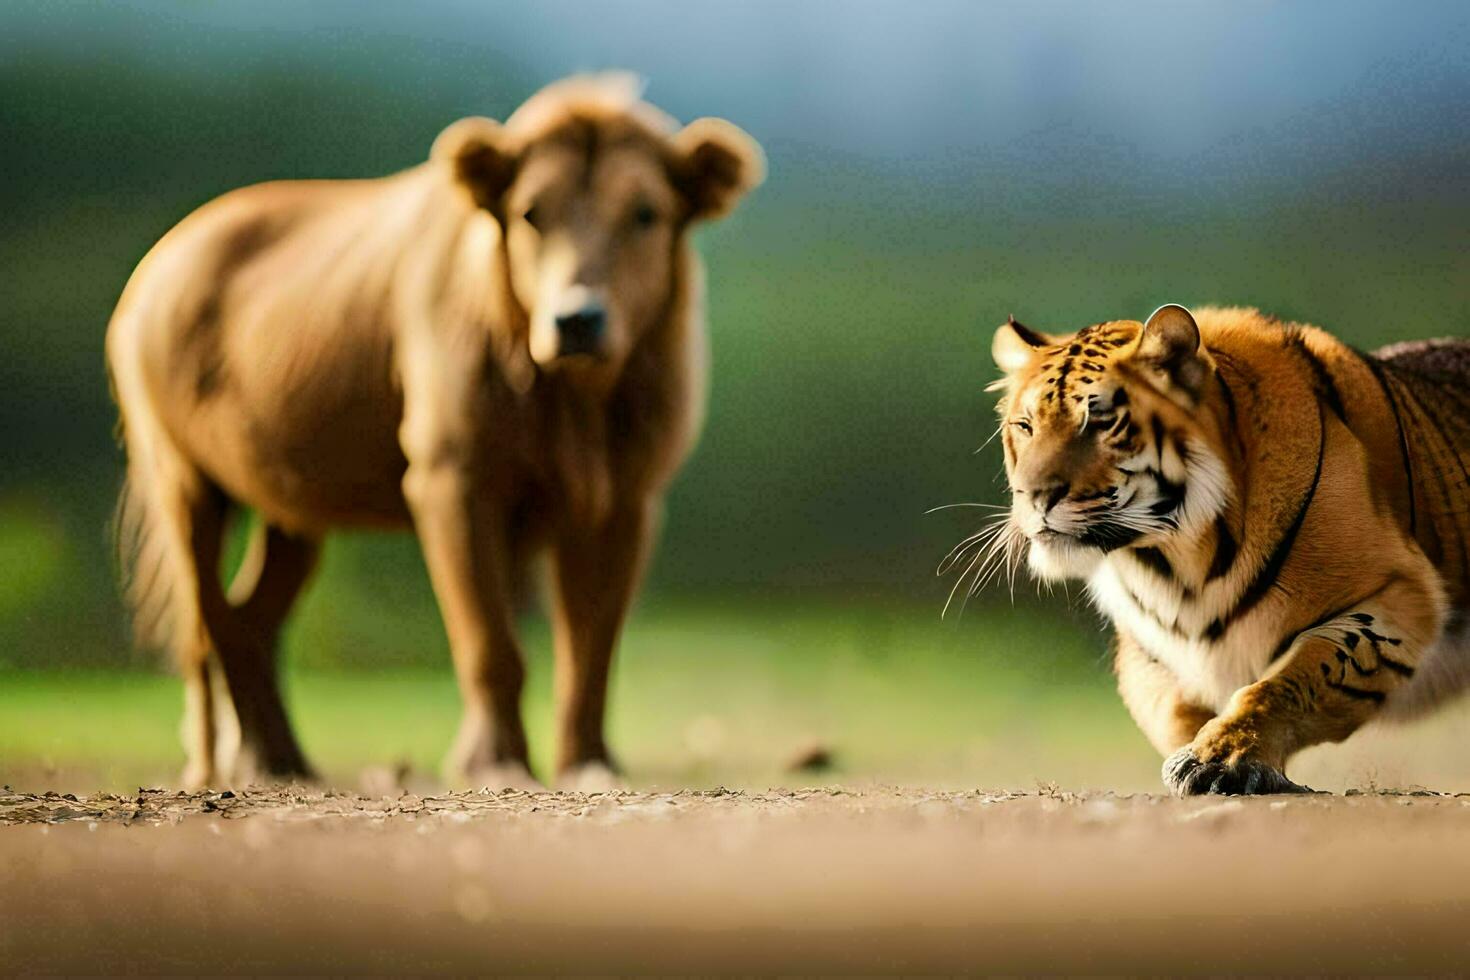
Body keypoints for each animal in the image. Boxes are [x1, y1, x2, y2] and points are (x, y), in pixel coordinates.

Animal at [108, 78, 764, 799]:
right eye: (532, 213)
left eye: (646, 213)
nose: (577, 319)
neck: (574, 403)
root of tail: (161, 258)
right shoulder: (452, 477)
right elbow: (489, 640)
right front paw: (494, 762)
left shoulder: (628, 494)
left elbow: (591, 648)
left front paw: (589, 765)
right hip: (179, 472)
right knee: (207, 621)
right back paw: (232, 765)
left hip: (289, 504)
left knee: (252, 617)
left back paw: (283, 764)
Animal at [976, 307, 1470, 799]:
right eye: (1025, 426)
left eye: (1099, 422)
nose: (1033, 496)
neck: (1178, 562)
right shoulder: (1151, 648)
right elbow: (1173, 711)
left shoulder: (1400, 595)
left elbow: (1288, 680)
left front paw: (1222, 759)